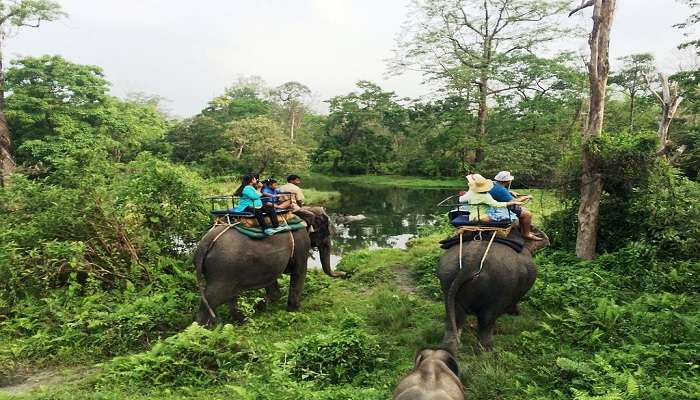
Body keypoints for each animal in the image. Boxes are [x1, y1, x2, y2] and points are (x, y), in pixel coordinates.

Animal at [193, 206, 346, 324]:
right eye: (327, 232)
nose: (344, 273)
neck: (302, 210)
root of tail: (204, 243)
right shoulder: (301, 242)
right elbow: (299, 272)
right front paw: (295, 310)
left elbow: (271, 279)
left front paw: (269, 305)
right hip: (223, 270)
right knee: (213, 297)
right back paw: (205, 330)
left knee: (229, 297)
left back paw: (241, 321)